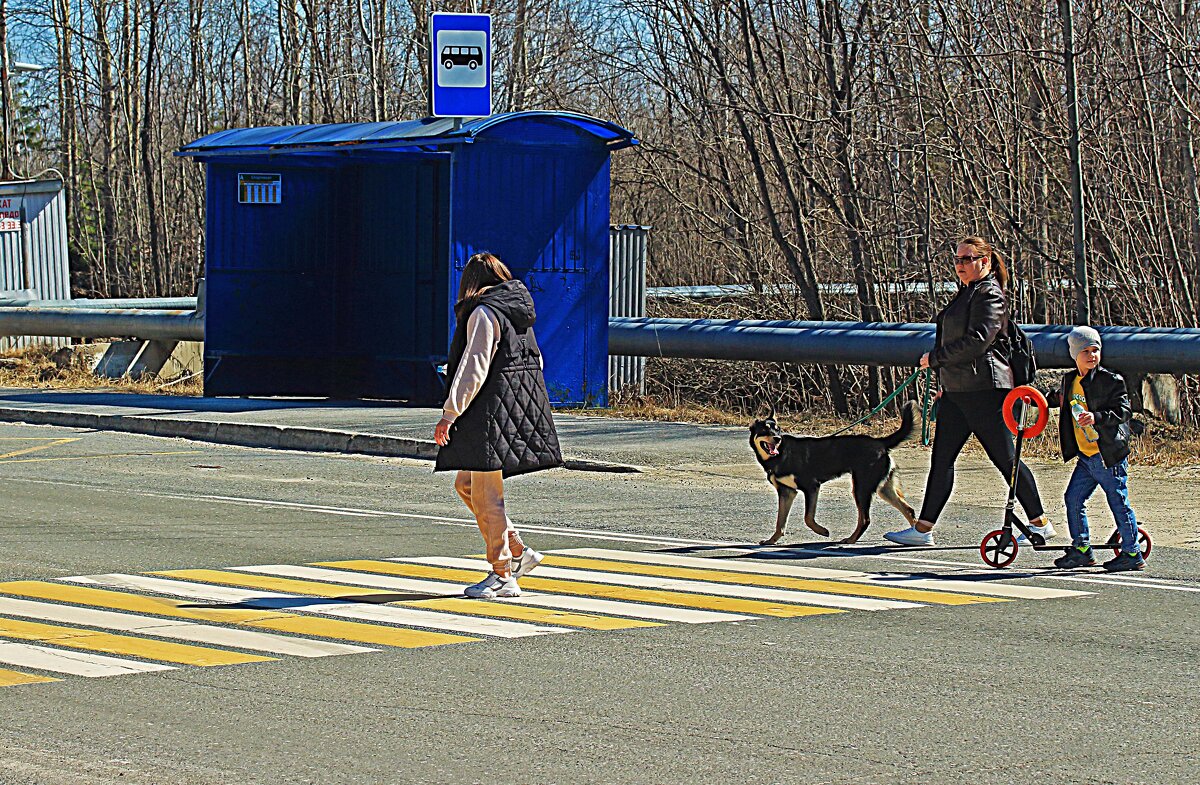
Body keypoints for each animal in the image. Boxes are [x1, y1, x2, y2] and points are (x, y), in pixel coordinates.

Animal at [748, 403, 916, 544]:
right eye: (765, 430)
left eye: (777, 429)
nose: (777, 439)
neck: (780, 454)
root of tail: (880, 442)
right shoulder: (786, 492)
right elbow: (780, 522)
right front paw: (772, 541)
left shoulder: (811, 487)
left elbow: (808, 518)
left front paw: (822, 531)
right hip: (883, 488)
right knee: (909, 510)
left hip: (861, 487)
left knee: (865, 519)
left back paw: (850, 539)